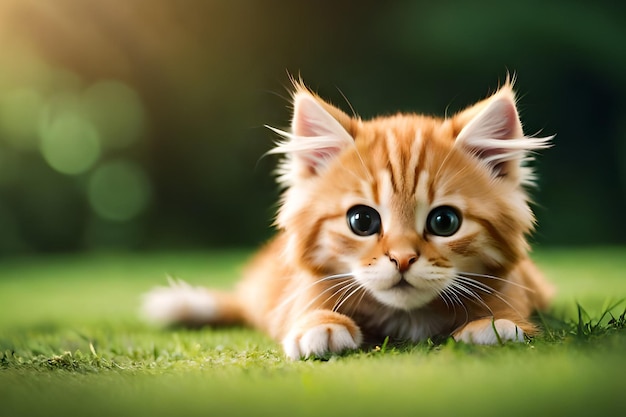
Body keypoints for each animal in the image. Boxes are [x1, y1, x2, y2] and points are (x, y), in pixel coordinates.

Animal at [141, 79, 552, 360]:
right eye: (362, 221)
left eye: (444, 222)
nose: (403, 259)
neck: (408, 319)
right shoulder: (301, 286)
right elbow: (306, 306)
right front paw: (321, 324)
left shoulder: (517, 281)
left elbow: (505, 304)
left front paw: (494, 322)